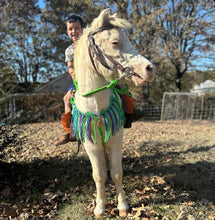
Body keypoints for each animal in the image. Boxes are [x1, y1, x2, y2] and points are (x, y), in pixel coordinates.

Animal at [72, 9, 155, 218]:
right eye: (115, 42)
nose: (150, 69)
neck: (95, 106)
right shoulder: (91, 145)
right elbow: (99, 175)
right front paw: (100, 208)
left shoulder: (116, 138)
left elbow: (117, 172)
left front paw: (122, 206)